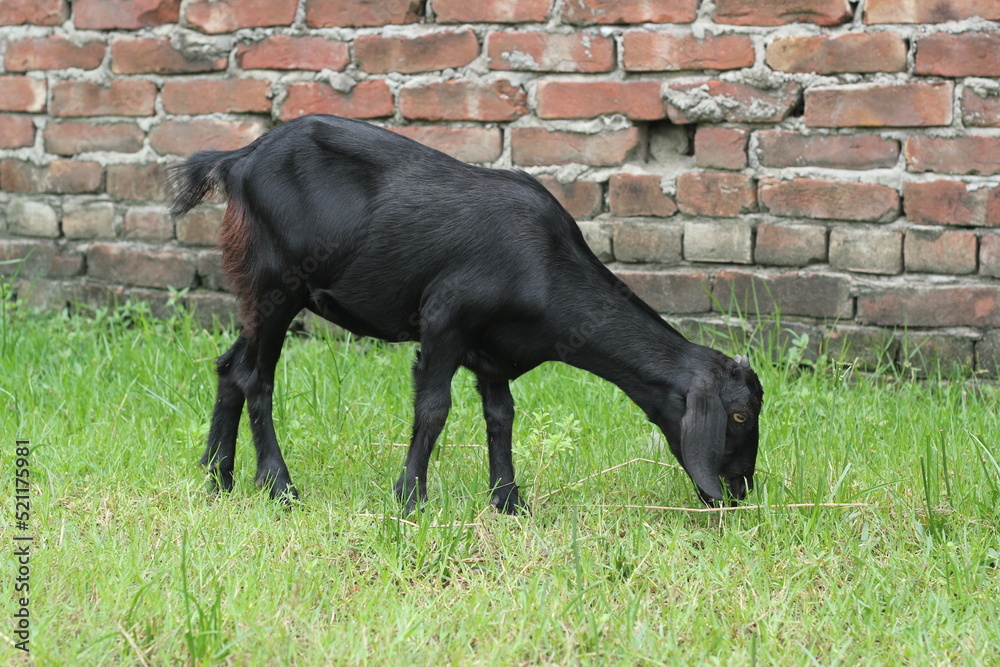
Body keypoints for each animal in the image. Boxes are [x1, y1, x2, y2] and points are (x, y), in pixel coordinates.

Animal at [170, 115, 764, 512]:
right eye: (738, 416)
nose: (738, 492)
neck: (545, 263)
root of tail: (238, 159)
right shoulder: (444, 319)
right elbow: (434, 408)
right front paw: (410, 500)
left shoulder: (495, 350)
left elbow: (501, 416)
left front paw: (508, 502)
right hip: (276, 281)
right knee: (257, 376)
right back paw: (278, 484)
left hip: (259, 294)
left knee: (230, 365)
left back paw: (216, 478)